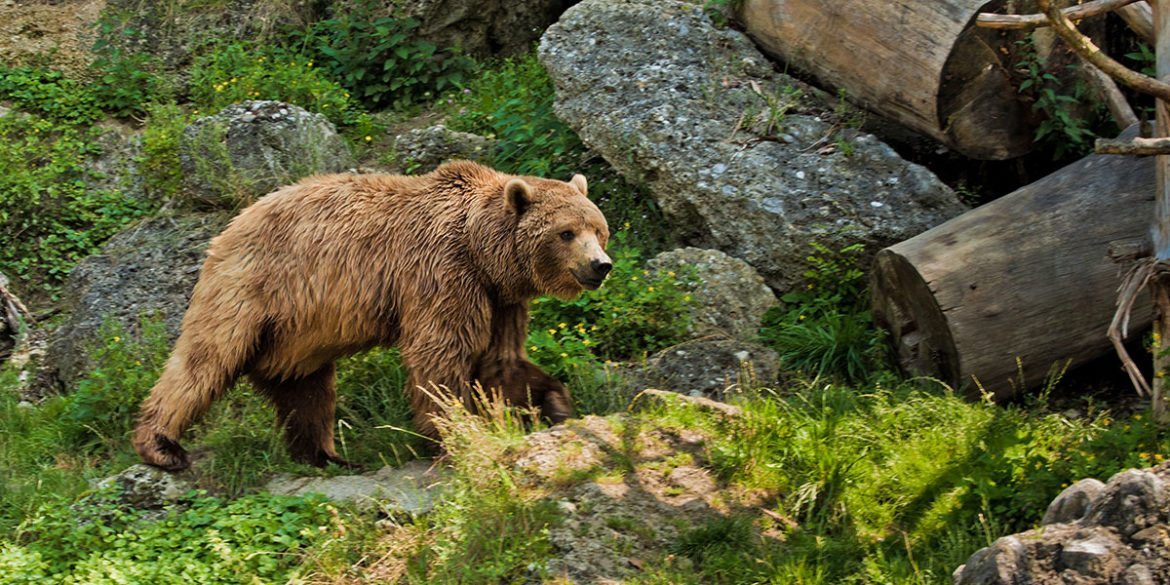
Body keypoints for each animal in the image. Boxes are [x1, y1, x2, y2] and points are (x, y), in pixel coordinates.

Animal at [132, 160, 613, 470]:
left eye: (599, 229)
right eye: (566, 232)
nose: (600, 265)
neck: (484, 252)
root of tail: (230, 225)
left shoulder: (501, 300)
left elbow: (501, 362)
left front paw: (555, 403)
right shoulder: (442, 273)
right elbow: (440, 355)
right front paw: (456, 434)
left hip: (296, 332)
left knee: (304, 387)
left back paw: (326, 455)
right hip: (252, 288)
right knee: (205, 359)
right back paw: (162, 446)